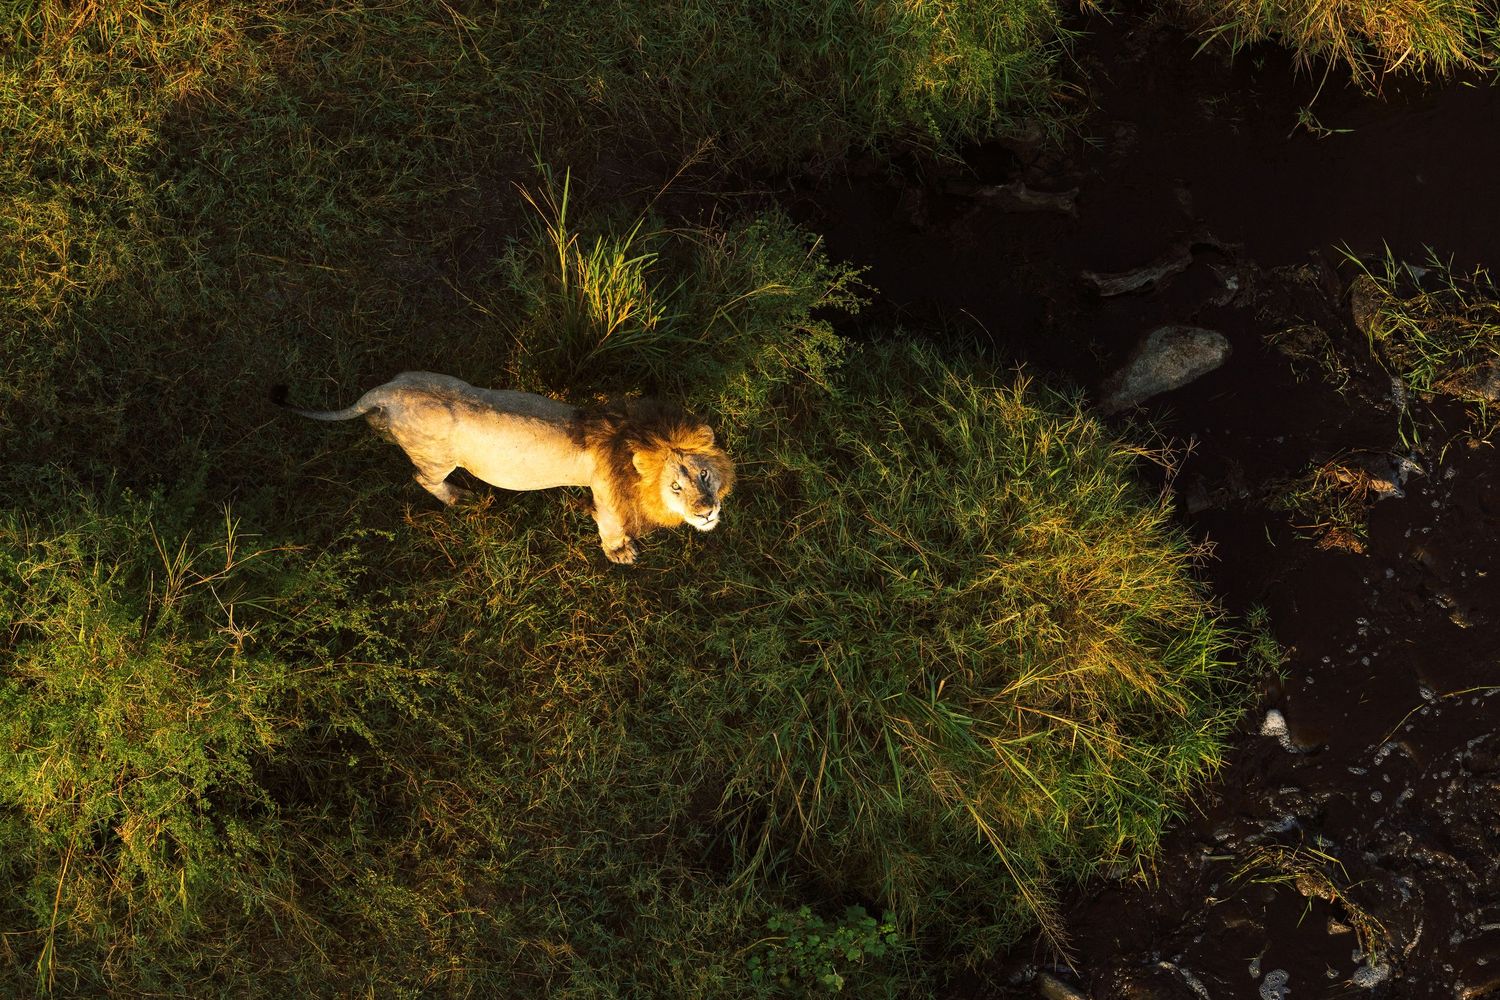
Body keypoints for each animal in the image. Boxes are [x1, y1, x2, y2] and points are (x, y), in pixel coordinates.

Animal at [274, 372, 735, 564]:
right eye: (675, 488)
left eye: (704, 476)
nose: (706, 511)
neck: (634, 440)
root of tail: (385, 392)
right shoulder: (606, 501)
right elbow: (610, 529)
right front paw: (620, 553)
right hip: (436, 459)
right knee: (421, 478)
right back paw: (457, 498)